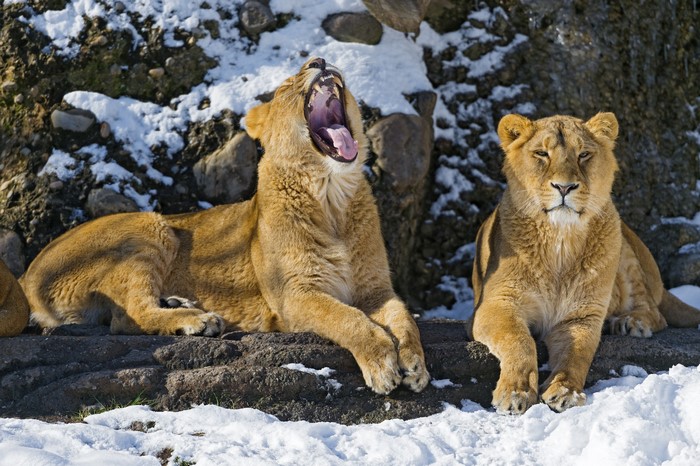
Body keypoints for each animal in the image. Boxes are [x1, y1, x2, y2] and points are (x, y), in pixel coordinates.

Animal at [20, 57, 430, 395]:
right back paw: (199, 321)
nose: (320, 60)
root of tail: (27, 276)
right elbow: (346, 318)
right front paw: (381, 363)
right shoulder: (293, 296)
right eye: (286, 85)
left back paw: (181, 303)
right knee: (127, 315)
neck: (332, 197)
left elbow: (405, 319)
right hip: (150, 226)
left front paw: (414, 365)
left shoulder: (376, 289)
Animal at [467, 112, 700, 414]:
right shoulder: (495, 305)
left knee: (655, 312)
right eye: (542, 153)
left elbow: (577, 354)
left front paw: (565, 391)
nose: (564, 187)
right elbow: (519, 340)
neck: (560, 241)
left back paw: (630, 323)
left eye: (584, 154)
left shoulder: (582, 316)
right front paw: (515, 392)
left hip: (623, 246)